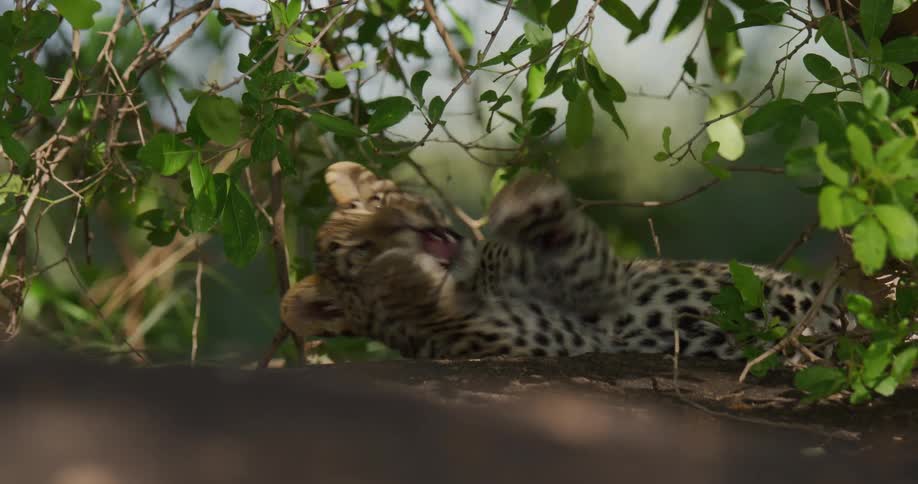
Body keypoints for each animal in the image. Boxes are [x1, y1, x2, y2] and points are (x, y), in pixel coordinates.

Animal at [281, 161, 857, 361]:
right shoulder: (561, 335)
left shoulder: (601, 295)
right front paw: (396, 280)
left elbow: (570, 251)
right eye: (359, 252)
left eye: (378, 203)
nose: (405, 228)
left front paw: (528, 199)